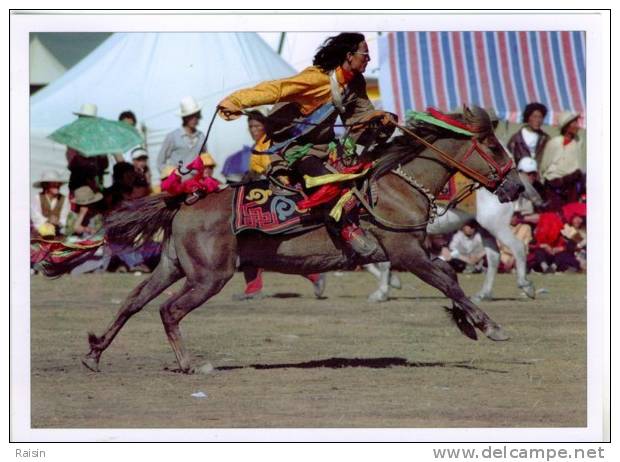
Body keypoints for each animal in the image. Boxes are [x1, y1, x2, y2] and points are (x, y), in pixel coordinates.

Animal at [366, 175, 540, 302]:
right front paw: (391, 283)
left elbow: (381, 263)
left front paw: (382, 291)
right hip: (485, 228)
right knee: (493, 257)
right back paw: (484, 294)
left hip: (496, 225)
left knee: (517, 246)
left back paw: (526, 286)